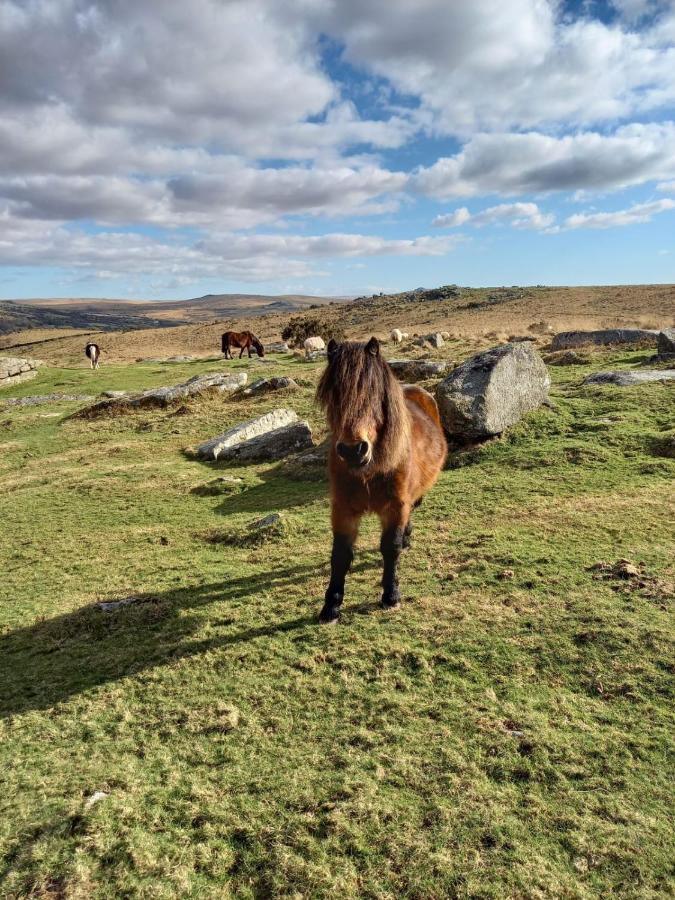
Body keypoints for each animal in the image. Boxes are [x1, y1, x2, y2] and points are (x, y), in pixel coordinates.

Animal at [318, 334, 448, 624]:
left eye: (374, 393)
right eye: (333, 394)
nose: (353, 450)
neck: (369, 470)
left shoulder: (395, 507)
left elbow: (391, 547)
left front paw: (391, 595)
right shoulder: (342, 508)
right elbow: (340, 555)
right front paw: (330, 607)